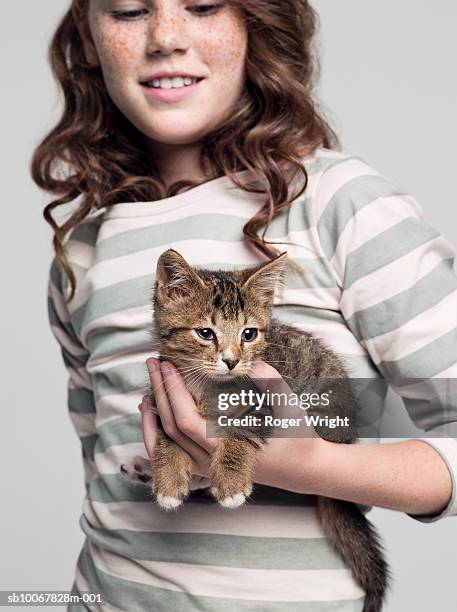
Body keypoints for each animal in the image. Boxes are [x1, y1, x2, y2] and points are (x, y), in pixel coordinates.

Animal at [121, 249, 388, 612]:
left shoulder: (265, 403)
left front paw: (231, 482)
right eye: (205, 333)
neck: (207, 386)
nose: (232, 360)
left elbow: (239, 435)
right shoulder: (164, 399)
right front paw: (168, 479)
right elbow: (168, 439)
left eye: (248, 334)